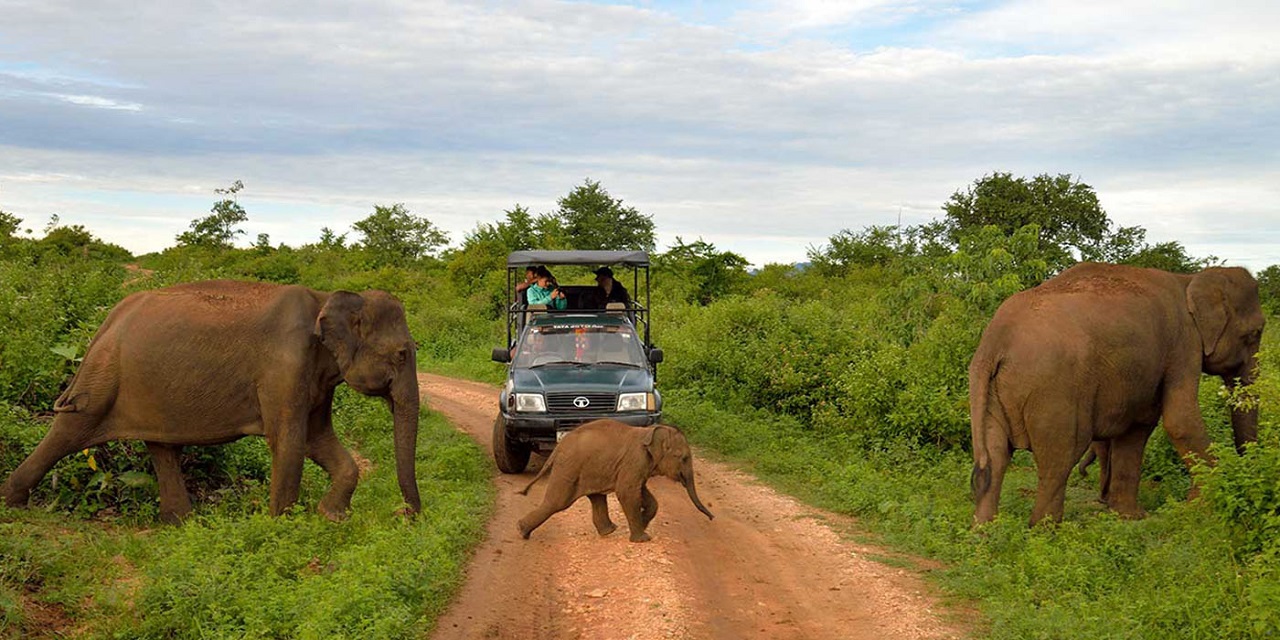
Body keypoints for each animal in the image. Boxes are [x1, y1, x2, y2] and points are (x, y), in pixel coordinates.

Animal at [2, 282, 422, 522]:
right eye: (403, 354)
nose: (406, 516)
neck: (327, 299)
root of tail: (109, 318)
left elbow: (318, 439)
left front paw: (332, 517)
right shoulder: (285, 365)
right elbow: (288, 441)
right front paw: (283, 529)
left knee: (161, 447)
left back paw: (180, 523)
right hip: (103, 376)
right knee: (69, 429)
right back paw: (12, 504)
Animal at [519, 422, 721, 542]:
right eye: (684, 458)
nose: (712, 518)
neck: (651, 431)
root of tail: (558, 447)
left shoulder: (639, 465)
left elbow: (643, 492)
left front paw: (643, 523)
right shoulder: (635, 460)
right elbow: (627, 491)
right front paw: (643, 538)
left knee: (596, 498)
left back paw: (609, 531)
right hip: (569, 468)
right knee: (557, 502)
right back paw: (522, 531)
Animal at [967, 263, 1259, 524]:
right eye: (1254, 334)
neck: (1189, 279)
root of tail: (995, 341)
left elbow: (1137, 427)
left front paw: (1129, 516)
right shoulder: (1183, 344)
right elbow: (1179, 421)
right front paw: (1198, 507)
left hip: (991, 391)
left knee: (995, 457)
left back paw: (985, 533)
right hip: (1053, 391)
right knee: (1059, 458)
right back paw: (1046, 532)